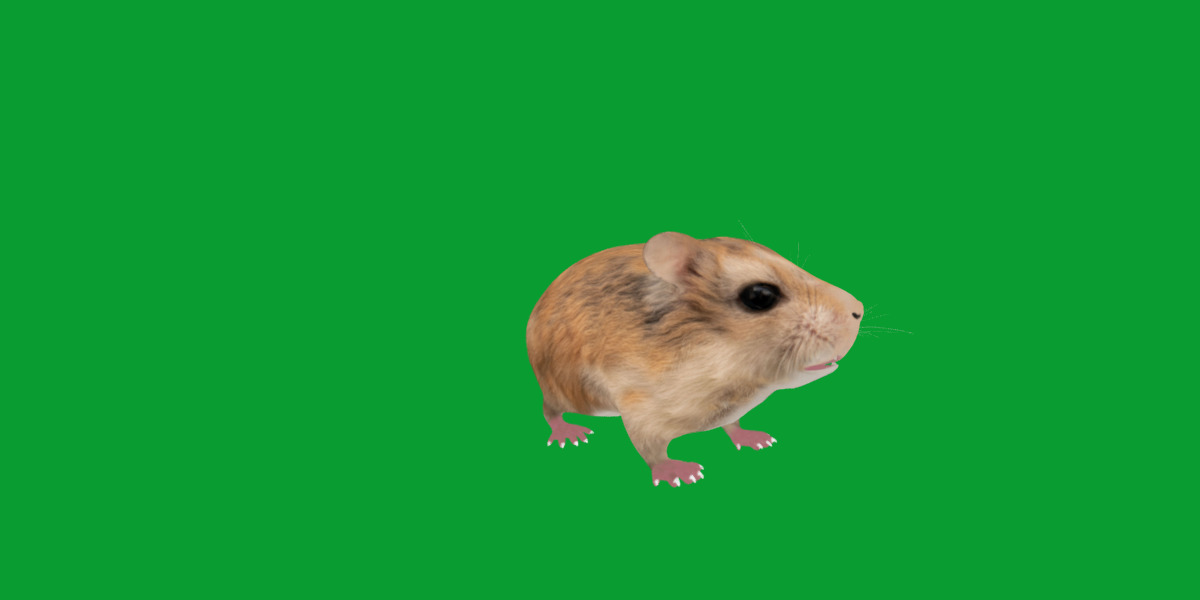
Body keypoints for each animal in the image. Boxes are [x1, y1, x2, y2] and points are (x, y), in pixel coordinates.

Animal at [526, 232, 863, 488]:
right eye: (759, 295)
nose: (859, 309)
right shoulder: (640, 408)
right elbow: (651, 450)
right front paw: (684, 475)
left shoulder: (728, 411)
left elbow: (733, 426)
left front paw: (759, 440)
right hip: (570, 393)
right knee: (549, 410)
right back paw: (570, 435)